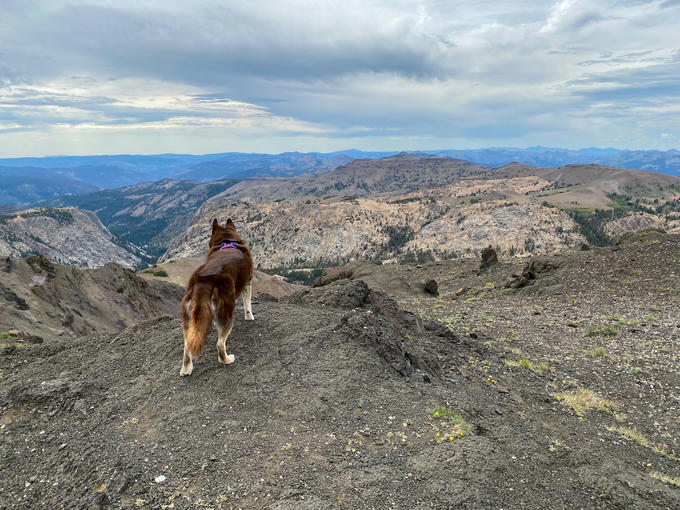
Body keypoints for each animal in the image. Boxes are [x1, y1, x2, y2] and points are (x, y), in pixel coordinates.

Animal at [179, 217, 254, 376]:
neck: (226, 240)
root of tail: (204, 280)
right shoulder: (248, 282)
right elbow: (248, 304)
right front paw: (250, 317)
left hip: (188, 318)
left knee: (187, 345)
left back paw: (186, 369)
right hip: (226, 310)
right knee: (220, 344)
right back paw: (227, 360)